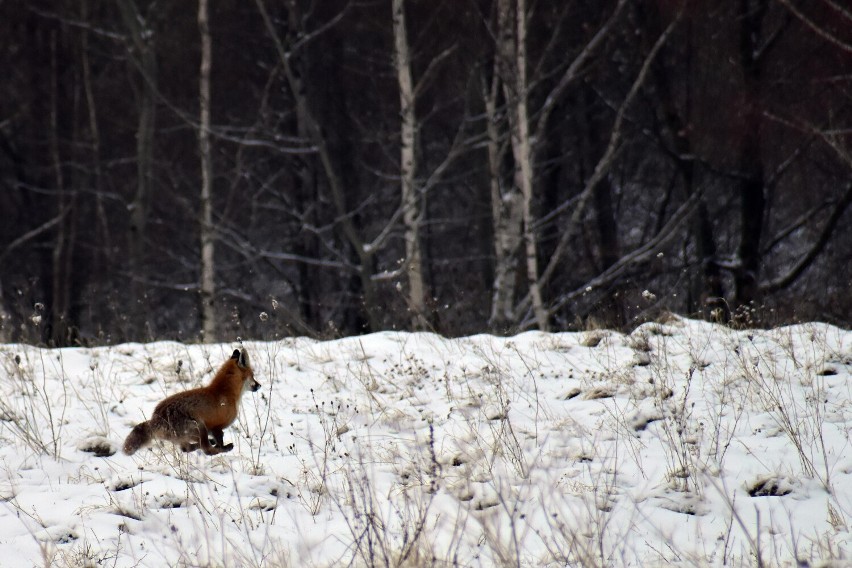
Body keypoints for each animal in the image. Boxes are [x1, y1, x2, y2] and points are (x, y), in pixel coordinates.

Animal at [124, 346, 260, 458]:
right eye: (253, 375)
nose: (259, 385)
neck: (225, 392)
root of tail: (155, 418)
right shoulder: (216, 427)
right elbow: (219, 442)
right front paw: (222, 447)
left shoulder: (213, 429)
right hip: (199, 427)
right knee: (206, 450)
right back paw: (221, 448)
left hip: (189, 435)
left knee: (187, 448)